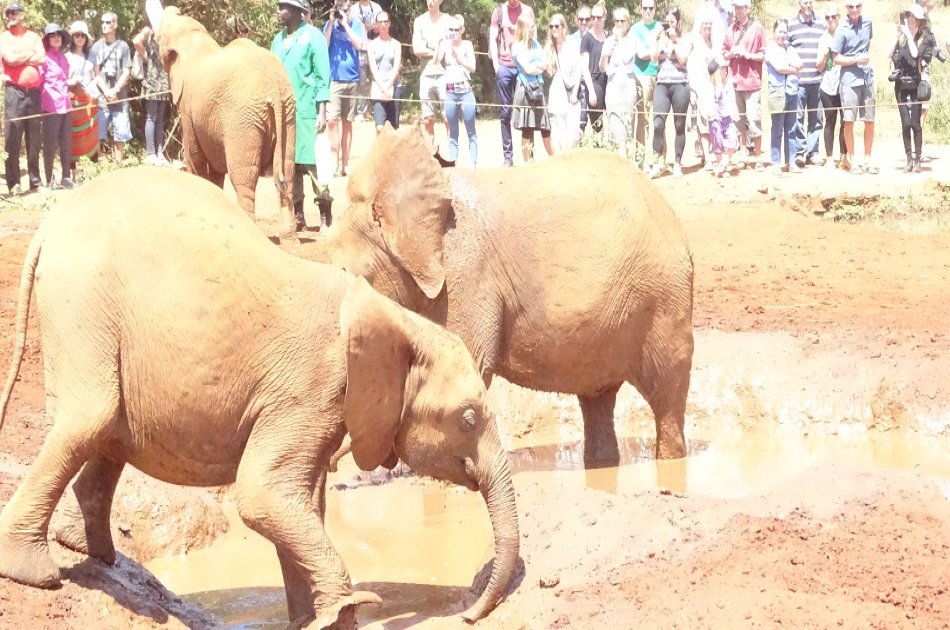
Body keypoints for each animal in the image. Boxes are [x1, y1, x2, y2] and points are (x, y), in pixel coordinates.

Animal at [0, 167, 519, 627]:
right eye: (468, 418)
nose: (467, 615)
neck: (396, 319)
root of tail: (47, 228)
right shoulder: (310, 387)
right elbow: (262, 492)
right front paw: (344, 611)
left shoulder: (322, 406)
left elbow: (300, 500)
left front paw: (314, 620)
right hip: (84, 306)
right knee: (90, 419)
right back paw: (36, 572)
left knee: (109, 431)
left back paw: (94, 551)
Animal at [155, 6, 298, 239]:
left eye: (158, 38)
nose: (172, 9)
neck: (197, 43)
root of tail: (273, 88)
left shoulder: (188, 106)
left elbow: (194, 156)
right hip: (288, 115)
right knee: (287, 171)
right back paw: (289, 237)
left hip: (243, 121)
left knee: (244, 179)